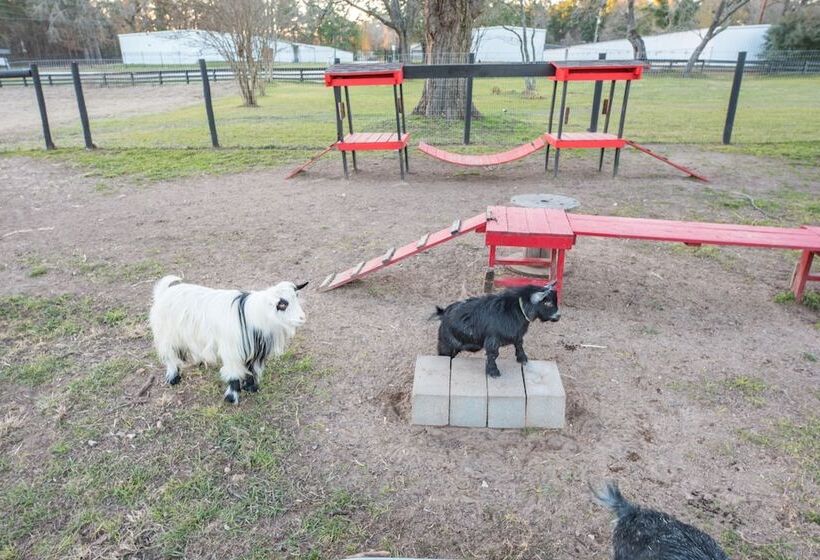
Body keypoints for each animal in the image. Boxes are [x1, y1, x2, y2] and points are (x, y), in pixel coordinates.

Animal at [149, 275, 307, 404]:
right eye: (282, 304)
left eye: (296, 297)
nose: (302, 318)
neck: (254, 316)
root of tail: (164, 292)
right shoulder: (232, 352)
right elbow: (234, 375)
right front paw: (232, 397)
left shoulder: (252, 351)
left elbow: (251, 370)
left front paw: (251, 388)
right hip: (167, 334)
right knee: (169, 355)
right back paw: (173, 377)